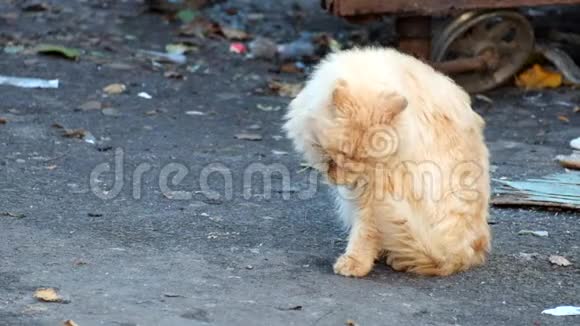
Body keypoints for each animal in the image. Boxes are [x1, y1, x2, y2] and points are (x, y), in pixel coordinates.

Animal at [284, 47, 492, 278]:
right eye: (343, 154)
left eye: (364, 160)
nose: (344, 180)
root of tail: (452, 259)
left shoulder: (373, 189)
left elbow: (365, 232)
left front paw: (354, 263)